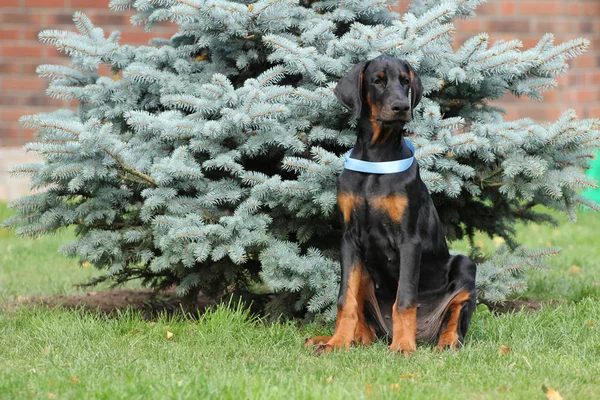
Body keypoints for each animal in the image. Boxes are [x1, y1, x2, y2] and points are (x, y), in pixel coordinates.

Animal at [308, 54, 476, 354]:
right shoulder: (349, 239)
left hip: (465, 267)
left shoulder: (409, 240)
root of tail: (425, 333)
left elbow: (406, 298)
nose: (401, 107)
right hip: (365, 271)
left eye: (405, 81)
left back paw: (443, 342)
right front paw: (337, 342)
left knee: (456, 316)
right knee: (365, 328)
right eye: (378, 81)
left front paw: (403, 347)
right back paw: (338, 339)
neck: (377, 157)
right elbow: (345, 299)